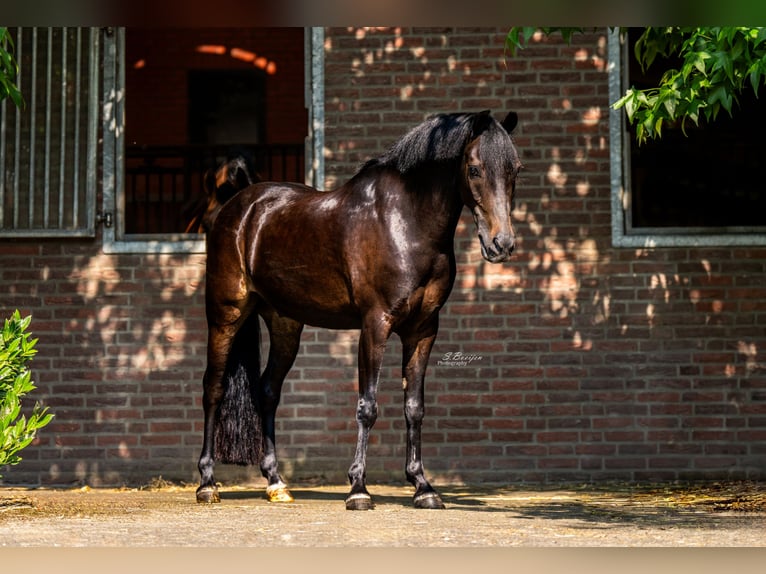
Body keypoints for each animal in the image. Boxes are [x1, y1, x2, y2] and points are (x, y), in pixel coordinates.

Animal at [197, 110, 522, 510]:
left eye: (516, 170)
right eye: (474, 169)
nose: (501, 244)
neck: (405, 222)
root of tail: (236, 209)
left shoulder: (423, 330)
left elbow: (414, 407)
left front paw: (423, 487)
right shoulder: (375, 325)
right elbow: (368, 406)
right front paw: (358, 489)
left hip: (285, 324)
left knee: (268, 390)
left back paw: (276, 483)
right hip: (226, 315)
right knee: (213, 388)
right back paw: (207, 483)